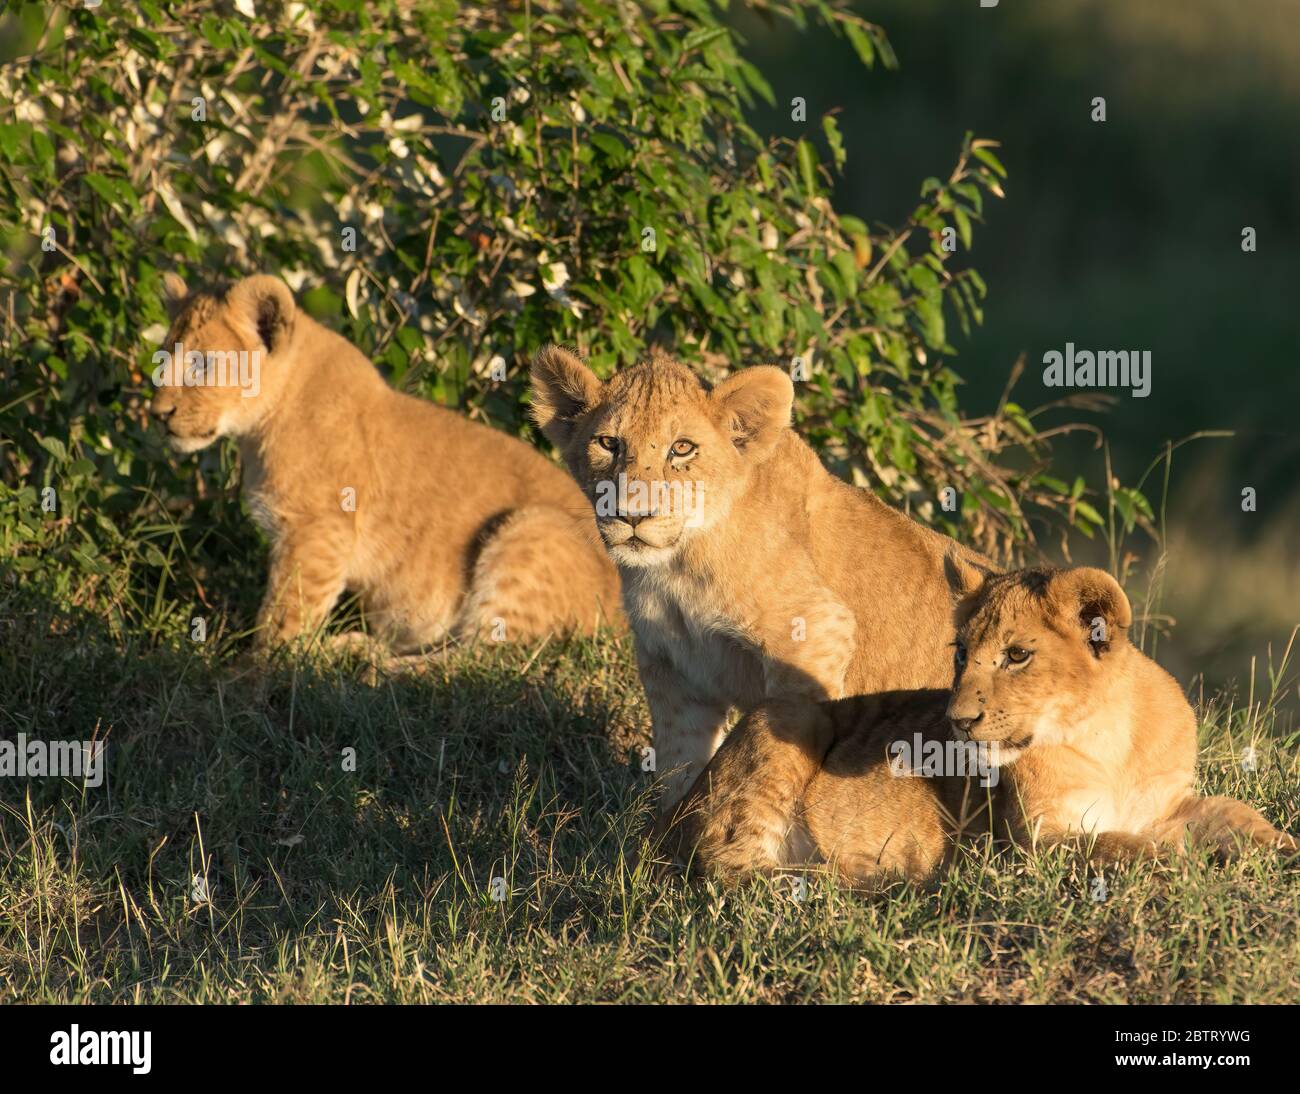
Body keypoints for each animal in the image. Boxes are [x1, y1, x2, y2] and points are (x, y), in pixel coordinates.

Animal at [149, 274, 622, 651]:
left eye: (201, 364)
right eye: (164, 358)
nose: (157, 414)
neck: (260, 427)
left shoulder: (318, 531)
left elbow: (285, 617)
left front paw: (255, 674)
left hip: (530, 531)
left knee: (474, 663)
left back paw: (364, 662)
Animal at [529, 346, 992, 809]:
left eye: (682, 448)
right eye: (609, 443)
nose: (631, 515)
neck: (678, 568)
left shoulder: (816, 632)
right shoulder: (673, 667)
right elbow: (679, 767)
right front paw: (670, 828)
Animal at [660, 558, 1297, 885]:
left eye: (1017, 655)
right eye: (962, 652)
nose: (958, 720)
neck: (1106, 737)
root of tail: (665, 818)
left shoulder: (1170, 801)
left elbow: (1233, 812)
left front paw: (1280, 847)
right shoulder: (1035, 842)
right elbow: (1118, 845)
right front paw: (1182, 858)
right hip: (792, 715)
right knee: (732, 869)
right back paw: (871, 880)